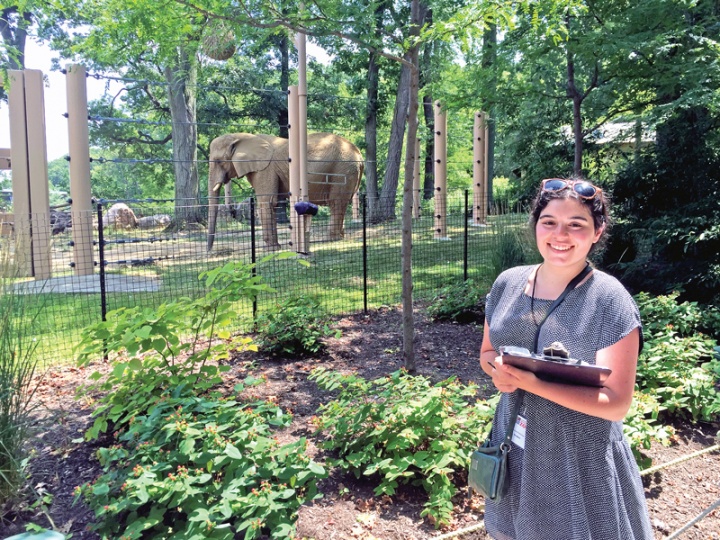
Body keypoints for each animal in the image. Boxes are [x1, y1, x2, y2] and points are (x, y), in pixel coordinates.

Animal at [208, 132, 366, 250]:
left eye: (218, 161)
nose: (209, 251)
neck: (242, 137)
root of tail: (359, 153)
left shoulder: (265, 169)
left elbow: (267, 202)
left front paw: (270, 249)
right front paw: (275, 247)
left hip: (342, 169)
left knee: (336, 202)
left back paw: (331, 239)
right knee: (342, 202)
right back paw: (339, 237)